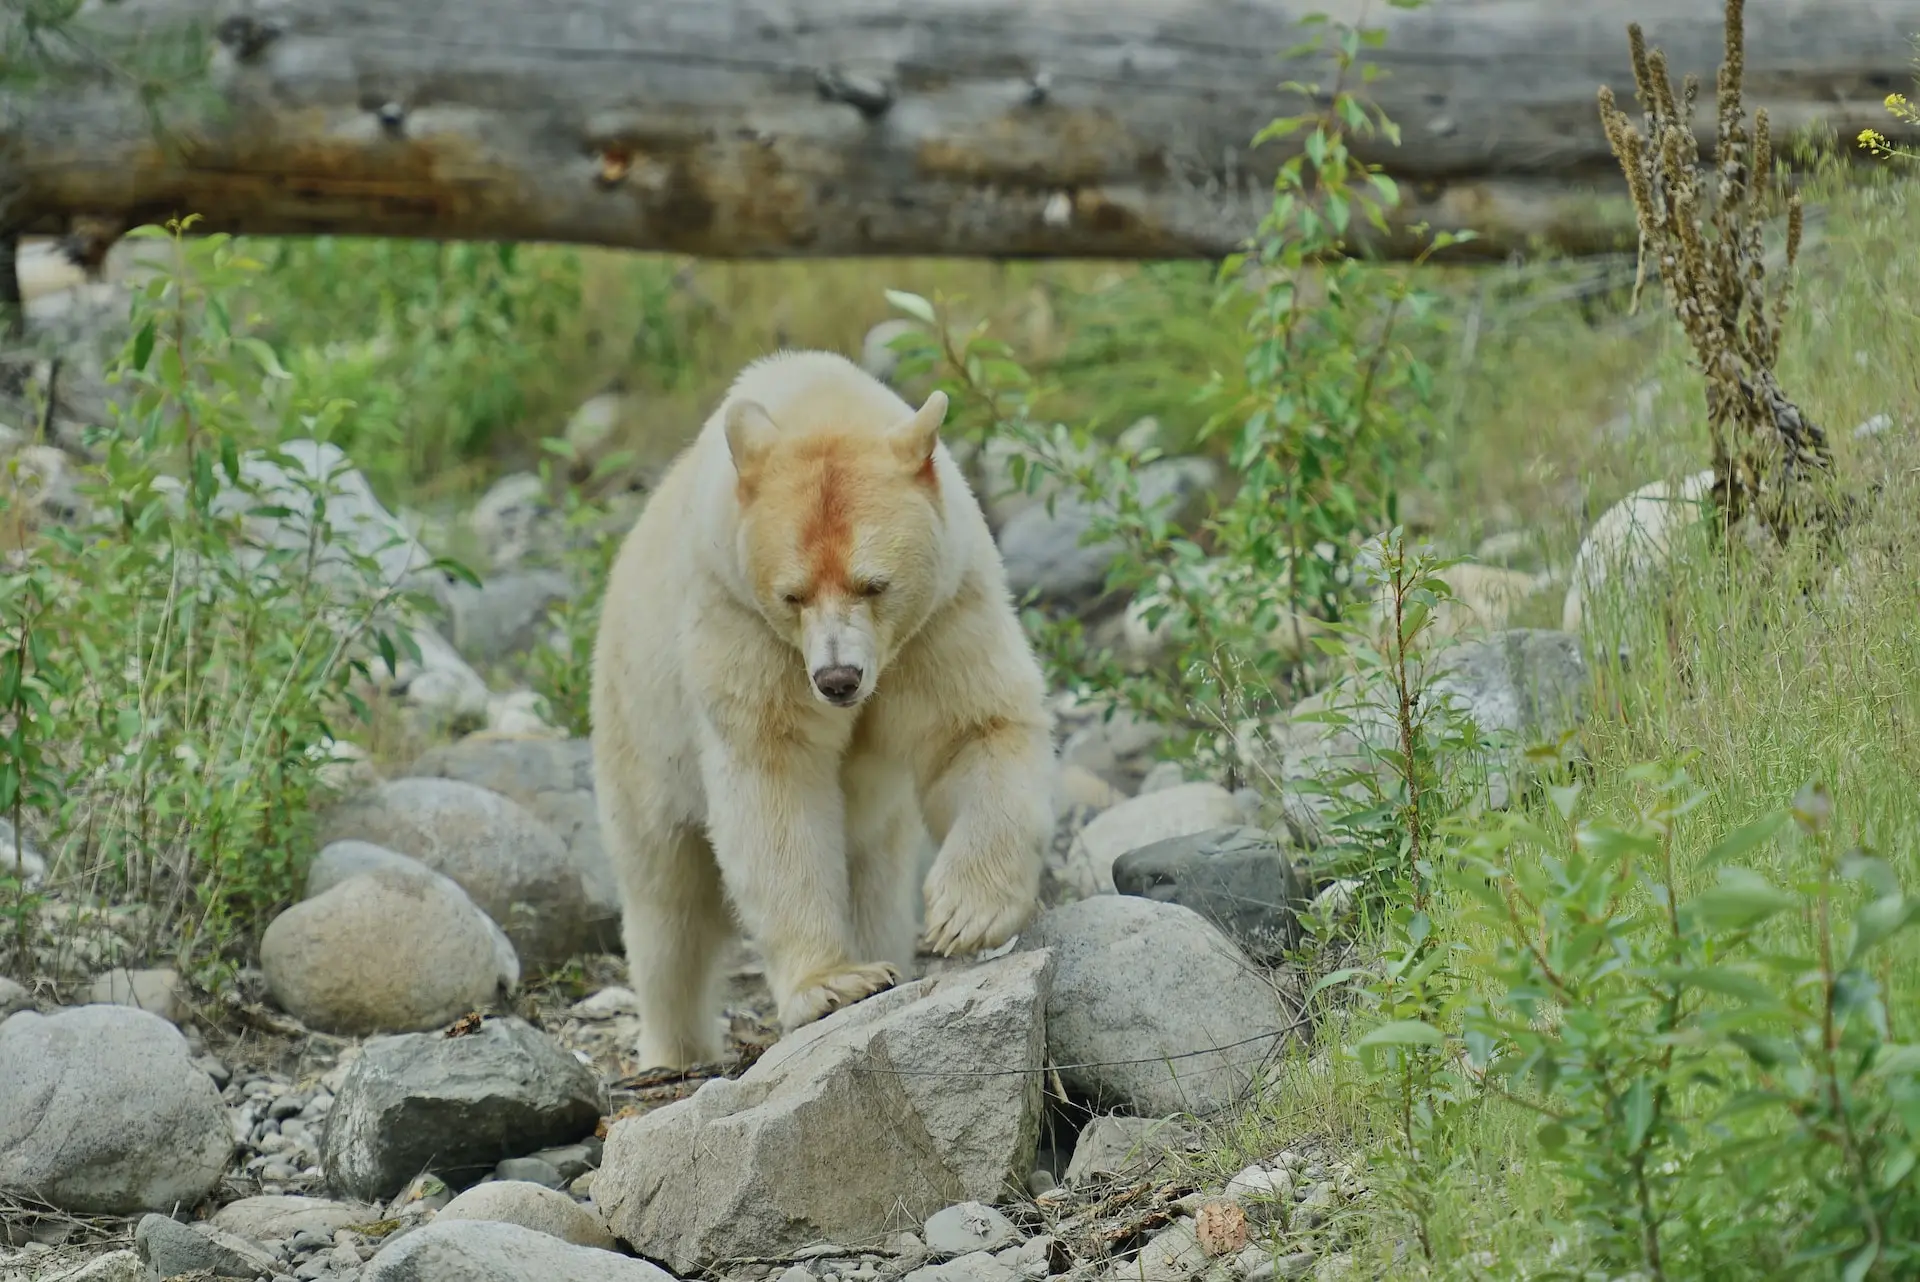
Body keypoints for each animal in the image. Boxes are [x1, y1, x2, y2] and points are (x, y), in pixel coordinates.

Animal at [587, 345, 1059, 1067]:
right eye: (793, 594)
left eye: (875, 584)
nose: (838, 678)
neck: (815, 397)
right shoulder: (740, 622)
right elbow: (773, 780)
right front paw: (834, 983)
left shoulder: (944, 613)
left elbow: (973, 726)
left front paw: (964, 915)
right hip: (638, 729)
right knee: (668, 902)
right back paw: (677, 1047)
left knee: (875, 878)